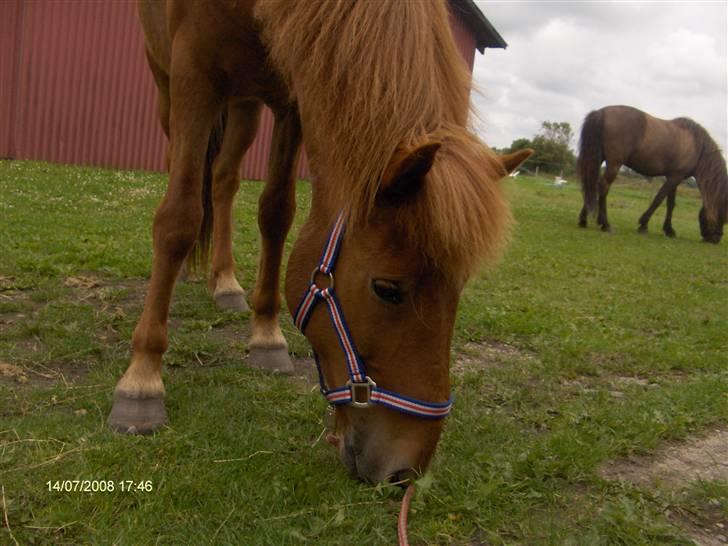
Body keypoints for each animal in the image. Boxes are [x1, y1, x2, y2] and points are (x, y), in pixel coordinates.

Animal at [108, 1, 528, 484]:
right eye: (387, 288)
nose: (405, 470)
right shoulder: (193, 69)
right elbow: (178, 218)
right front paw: (141, 379)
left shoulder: (292, 94)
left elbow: (276, 213)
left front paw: (267, 336)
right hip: (168, 83)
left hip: (246, 103)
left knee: (225, 178)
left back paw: (226, 283)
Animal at [576, 105, 724, 241]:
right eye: (724, 211)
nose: (716, 239)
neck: (697, 146)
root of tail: (601, 112)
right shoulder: (675, 178)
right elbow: (658, 200)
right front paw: (643, 225)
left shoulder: (674, 177)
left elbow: (670, 204)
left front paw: (669, 230)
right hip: (614, 164)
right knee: (603, 186)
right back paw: (605, 224)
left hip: (598, 158)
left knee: (592, 184)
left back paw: (584, 220)